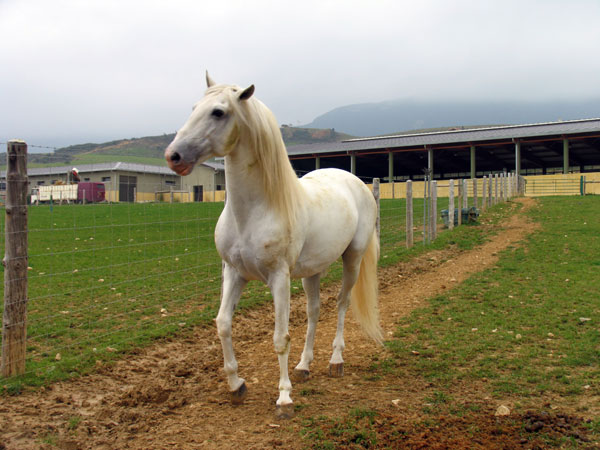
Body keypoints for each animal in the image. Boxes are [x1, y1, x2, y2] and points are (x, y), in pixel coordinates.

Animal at [165, 74, 380, 418]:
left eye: (218, 112)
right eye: (194, 107)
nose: (174, 156)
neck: (253, 212)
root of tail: (352, 180)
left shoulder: (279, 278)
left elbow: (280, 337)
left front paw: (284, 398)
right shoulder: (234, 273)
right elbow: (223, 325)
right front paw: (236, 385)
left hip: (353, 259)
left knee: (342, 304)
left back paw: (335, 361)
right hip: (312, 271)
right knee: (314, 311)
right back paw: (304, 366)